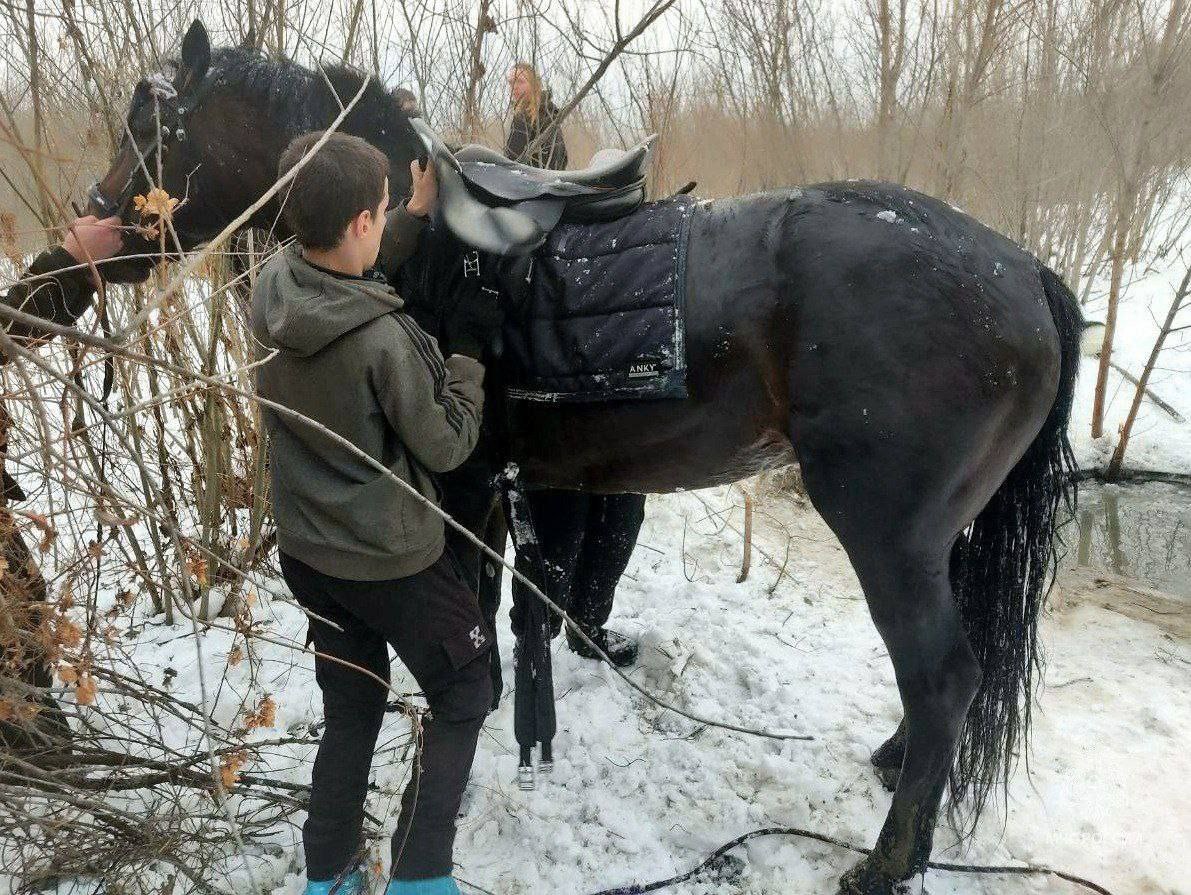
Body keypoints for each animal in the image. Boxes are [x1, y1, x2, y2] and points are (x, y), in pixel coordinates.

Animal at [58, 21, 1081, 895]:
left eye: (148, 130)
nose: (85, 238)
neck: (413, 243)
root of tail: (1023, 273)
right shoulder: (480, 491)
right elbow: (488, 615)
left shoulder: (457, 486)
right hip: (938, 540)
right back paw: (892, 769)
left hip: (886, 534)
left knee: (942, 677)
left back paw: (886, 862)